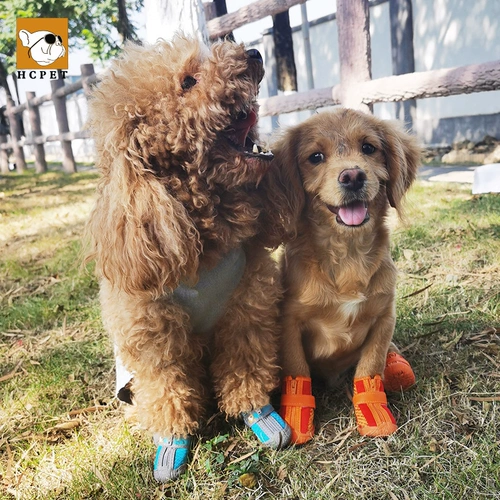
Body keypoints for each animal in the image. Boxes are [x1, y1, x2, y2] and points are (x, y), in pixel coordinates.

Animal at [274, 108, 422, 442]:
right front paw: (297, 420)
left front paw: (375, 415)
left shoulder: (384, 317)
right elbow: (297, 370)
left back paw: (397, 365)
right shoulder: (289, 323)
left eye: (368, 147)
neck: (347, 255)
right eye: (315, 156)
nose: (353, 176)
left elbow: (370, 366)